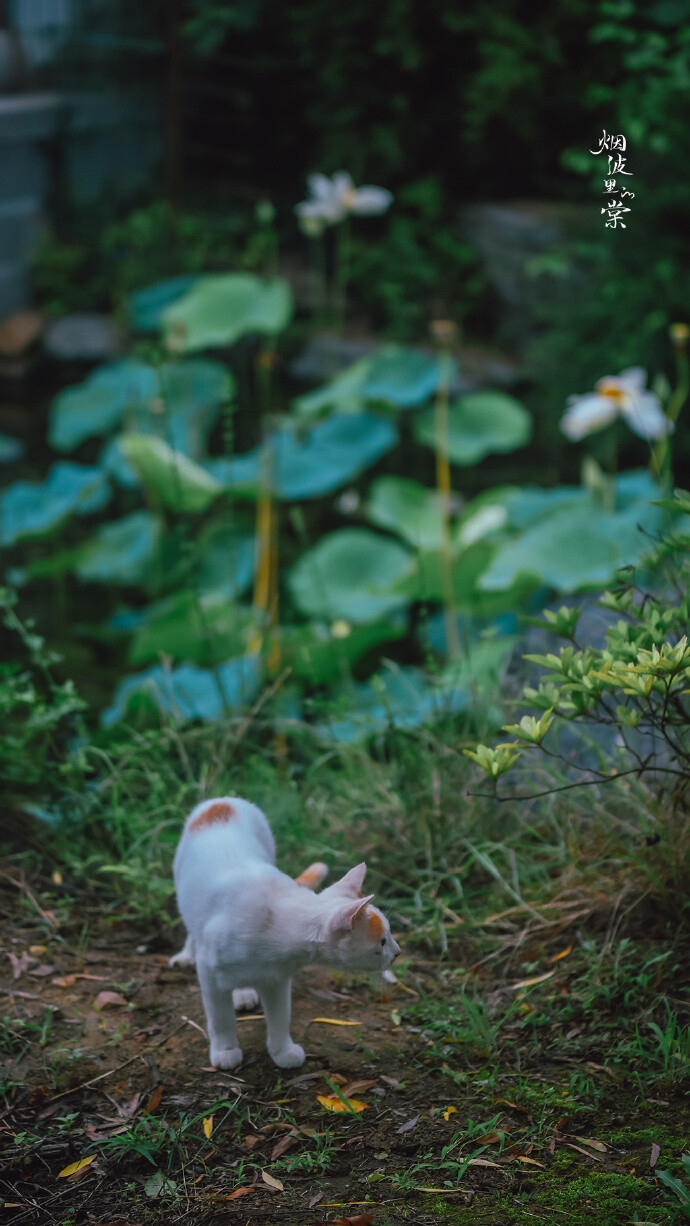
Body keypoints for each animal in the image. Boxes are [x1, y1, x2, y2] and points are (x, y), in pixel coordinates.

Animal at [169, 794, 401, 1064]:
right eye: (382, 942)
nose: (398, 952)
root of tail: (223, 800)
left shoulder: (277, 980)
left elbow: (280, 1018)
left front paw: (282, 1052)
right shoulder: (209, 973)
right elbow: (220, 1019)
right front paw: (225, 1051)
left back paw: (243, 991)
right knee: (192, 928)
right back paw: (187, 955)